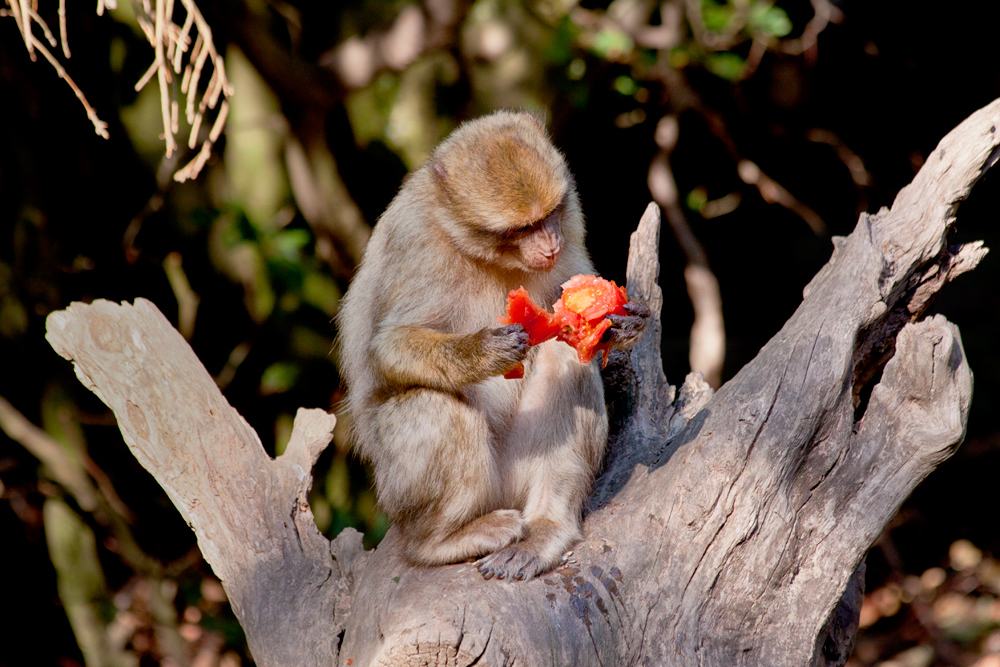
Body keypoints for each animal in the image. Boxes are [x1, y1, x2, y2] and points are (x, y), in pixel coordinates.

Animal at [336, 109, 648, 580]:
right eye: (522, 227)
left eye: (551, 214)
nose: (550, 245)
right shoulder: (416, 244)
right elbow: (388, 347)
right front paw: (482, 352)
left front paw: (620, 322)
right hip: (406, 493)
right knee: (435, 403)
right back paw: (440, 541)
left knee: (562, 357)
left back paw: (545, 528)